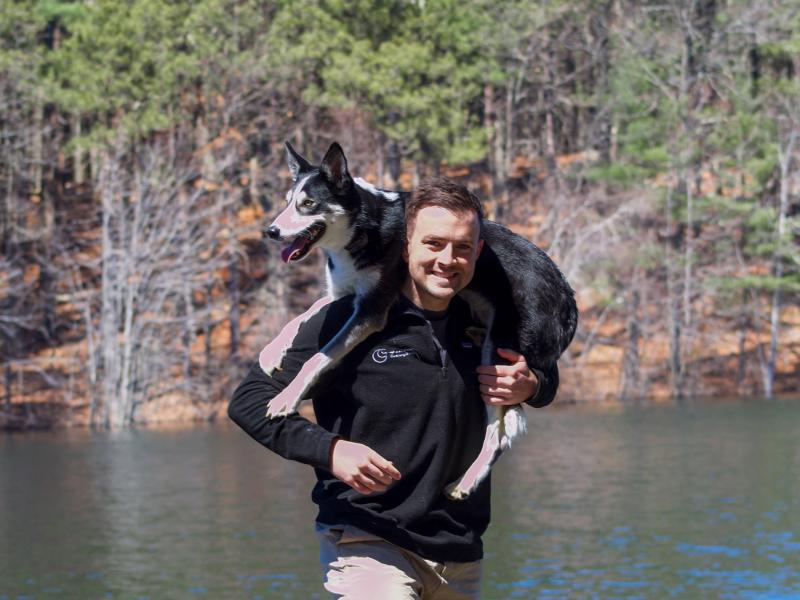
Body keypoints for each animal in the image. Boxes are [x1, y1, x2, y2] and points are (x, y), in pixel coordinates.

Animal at [260, 139, 580, 496]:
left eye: (308, 203)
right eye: (288, 202)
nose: (270, 231)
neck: (365, 225)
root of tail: (568, 299)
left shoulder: (371, 310)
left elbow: (319, 356)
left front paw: (286, 397)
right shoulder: (346, 295)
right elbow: (305, 314)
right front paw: (272, 351)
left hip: (497, 357)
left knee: (498, 437)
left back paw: (464, 483)